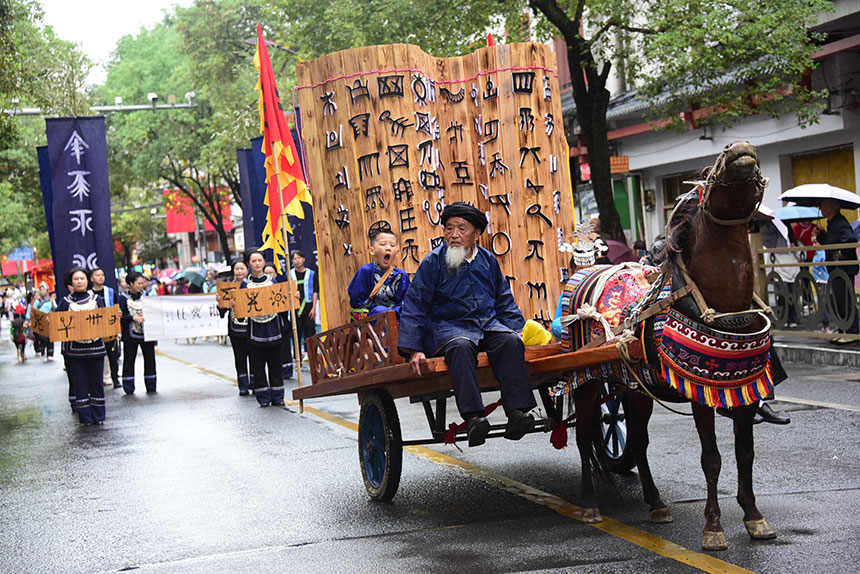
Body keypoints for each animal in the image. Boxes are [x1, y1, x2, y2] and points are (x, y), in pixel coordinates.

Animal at [560, 141, 776, 552]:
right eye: (706, 173)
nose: (739, 147)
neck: (725, 307)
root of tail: (583, 271)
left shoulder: (744, 389)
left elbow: (746, 454)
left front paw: (755, 517)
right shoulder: (701, 395)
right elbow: (712, 459)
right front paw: (713, 528)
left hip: (634, 388)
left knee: (638, 442)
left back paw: (656, 503)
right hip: (586, 379)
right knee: (583, 438)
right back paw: (590, 504)